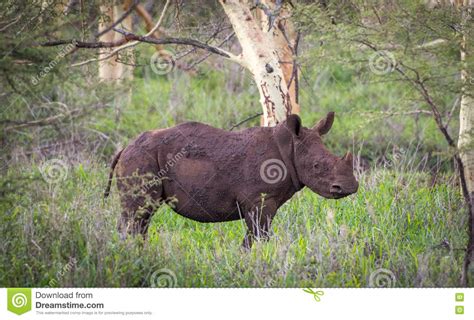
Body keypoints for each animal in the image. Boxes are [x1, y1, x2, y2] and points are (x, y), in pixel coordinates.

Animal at [103, 112, 356, 248]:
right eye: (317, 166)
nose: (350, 187)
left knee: (142, 218)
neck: (289, 148)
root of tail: (125, 147)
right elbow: (257, 236)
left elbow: (257, 236)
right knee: (138, 214)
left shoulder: (265, 203)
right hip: (141, 159)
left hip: (142, 158)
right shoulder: (259, 201)